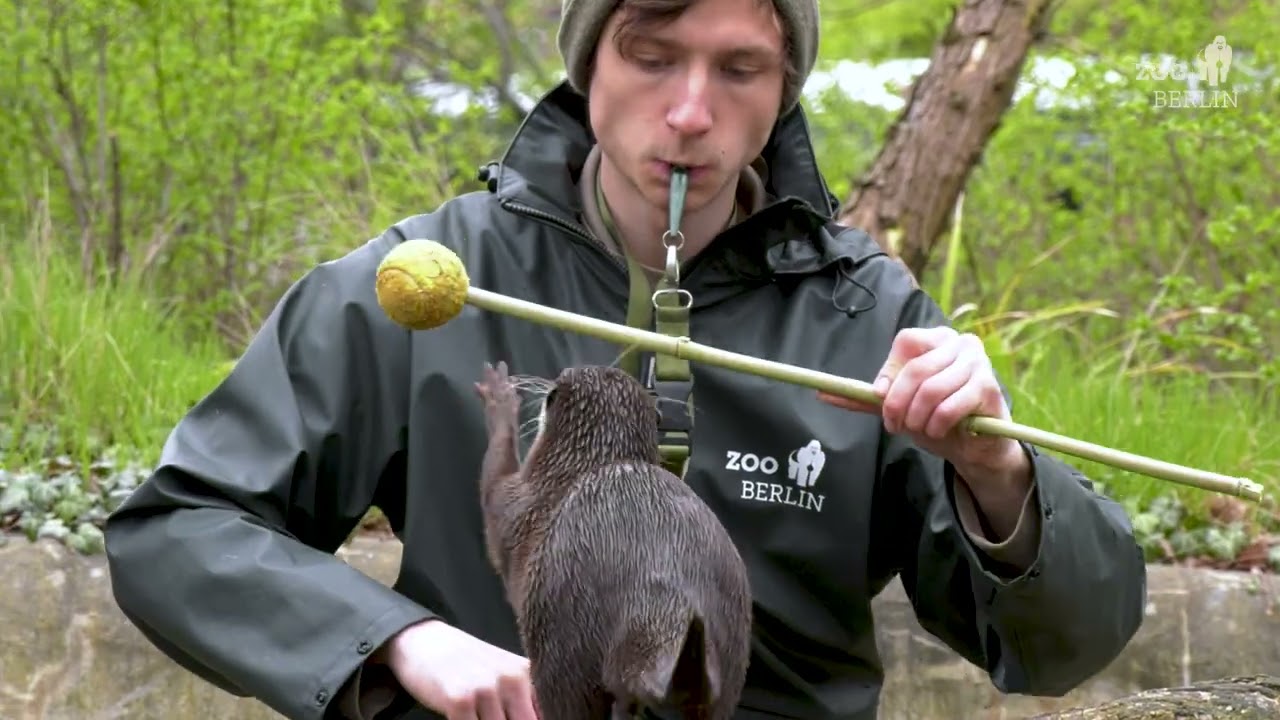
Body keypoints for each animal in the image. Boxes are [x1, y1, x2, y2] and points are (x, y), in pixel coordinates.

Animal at [473, 361, 753, 720]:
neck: (591, 460)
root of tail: (662, 605)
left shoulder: (518, 504)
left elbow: (494, 480)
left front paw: (500, 396)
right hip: (730, 654)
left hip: (563, 647)